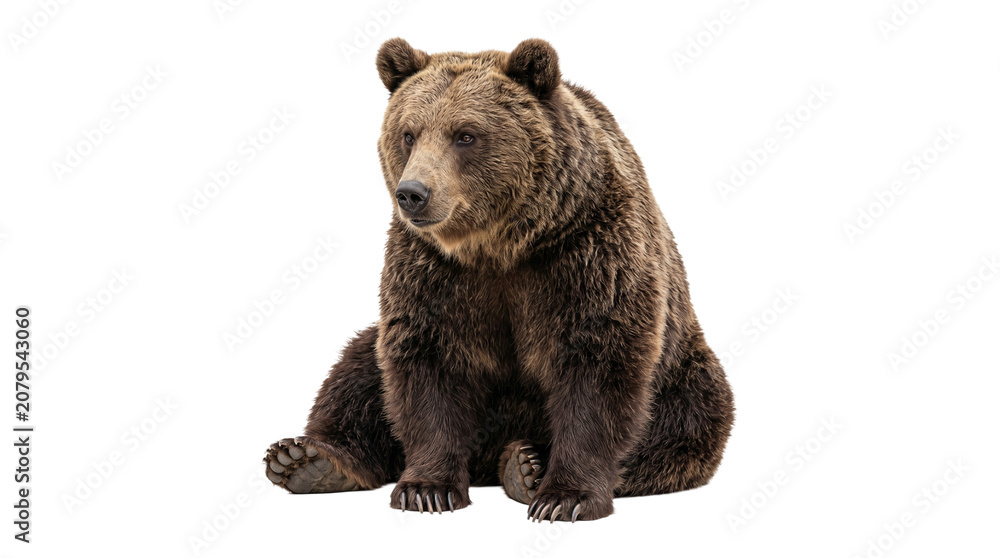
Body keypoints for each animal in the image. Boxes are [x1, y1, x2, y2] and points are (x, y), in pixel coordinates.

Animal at [263, 38, 735, 522]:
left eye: (466, 134)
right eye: (409, 133)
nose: (412, 193)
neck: (500, 245)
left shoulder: (587, 253)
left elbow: (598, 364)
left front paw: (565, 497)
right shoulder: (432, 269)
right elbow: (428, 362)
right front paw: (426, 489)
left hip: (685, 372)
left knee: (686, 421)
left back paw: (526, 465)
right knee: (356, 372)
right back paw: (307, 459)